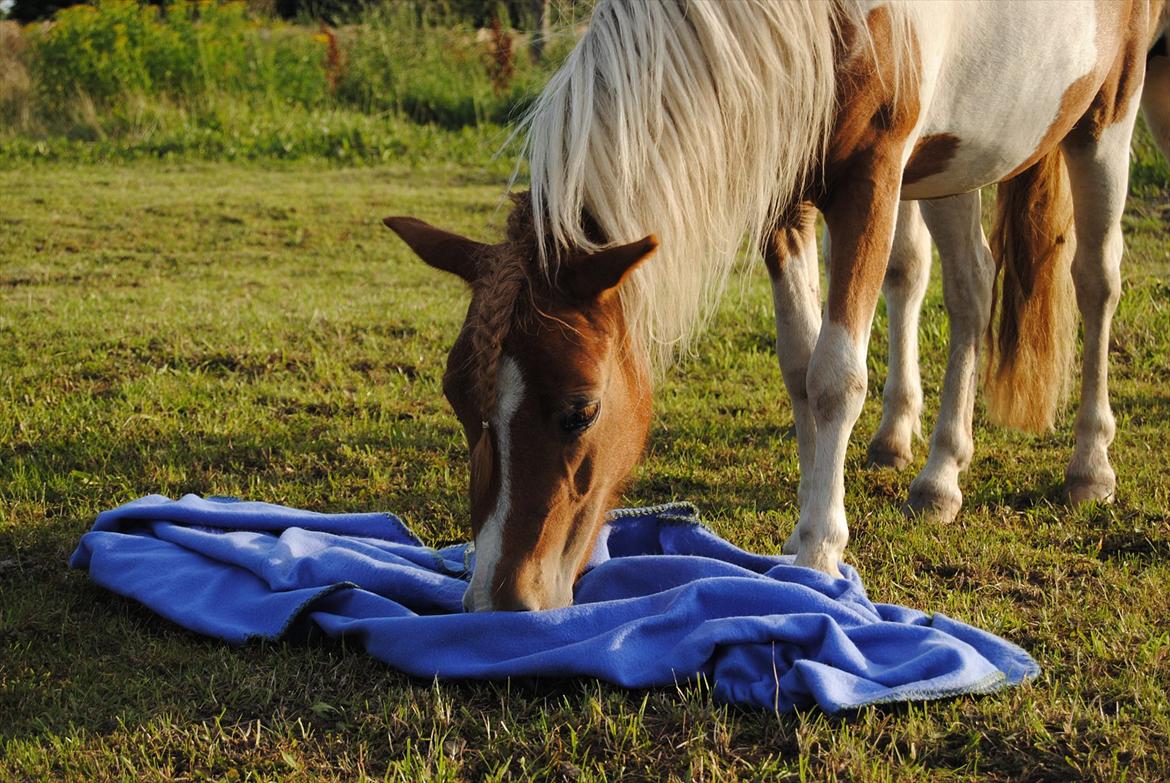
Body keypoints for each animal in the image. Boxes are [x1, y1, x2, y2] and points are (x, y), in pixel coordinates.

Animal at [386, 0, 1160, 608]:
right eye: (458, 400)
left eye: (581, 411)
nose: (498, 600)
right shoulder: (786, 193)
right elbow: (798, 366)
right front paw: (804, 537)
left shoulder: (872, 176)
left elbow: (835, 375)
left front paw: (817, 548)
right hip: (954, 158)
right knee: (969, 286)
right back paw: (936, 472)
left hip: (1107, 117)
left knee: (1096, 282)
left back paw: (1089, 466)